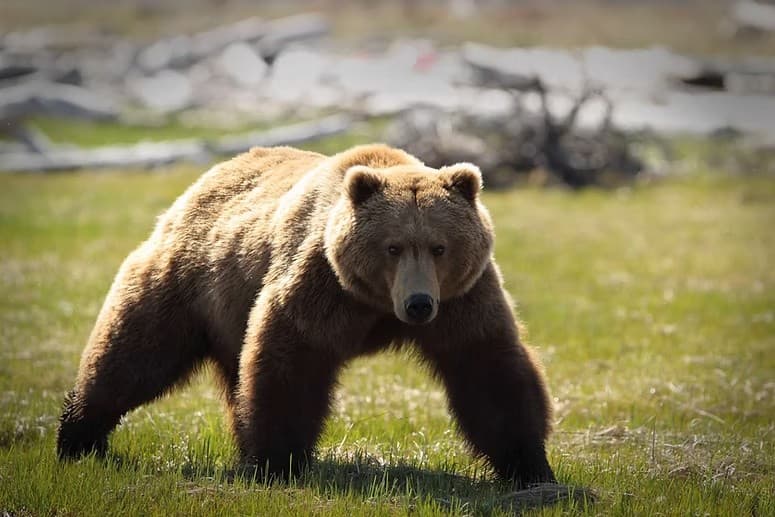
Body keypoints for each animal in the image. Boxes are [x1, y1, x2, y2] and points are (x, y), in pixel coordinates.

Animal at [57, 143, 556, 487]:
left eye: (439, 247)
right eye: (393, 247)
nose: (418, 304)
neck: (376, 304)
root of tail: (204, 180)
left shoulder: (462, 299)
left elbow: (489, 368)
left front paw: (532, 468)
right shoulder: (320, 284)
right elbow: (289, 362)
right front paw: (278, 463)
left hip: (227, 310)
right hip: (188, 283)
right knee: (134, 352)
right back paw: (78, 435)